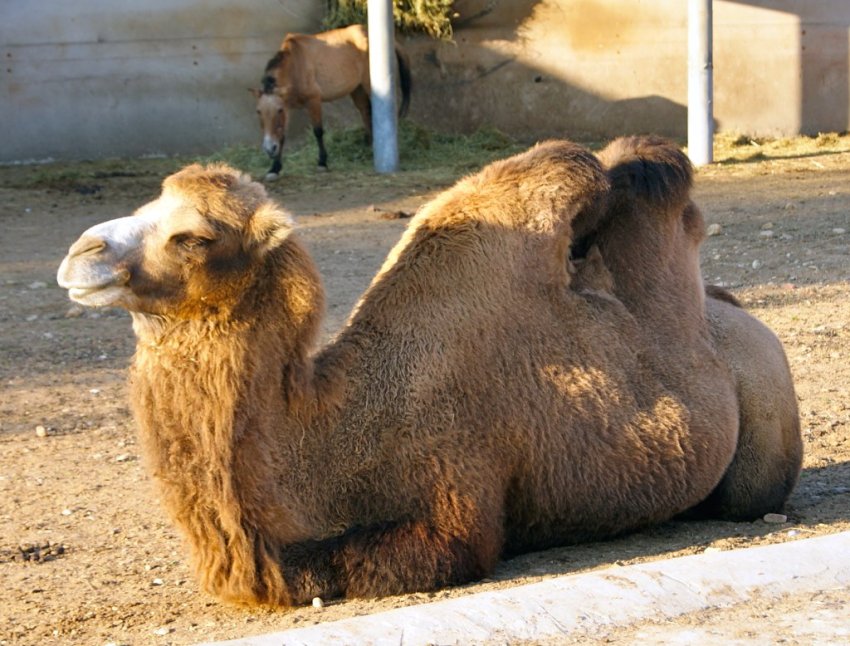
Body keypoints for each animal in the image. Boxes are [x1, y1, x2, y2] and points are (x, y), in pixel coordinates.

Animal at [252, 25, 410, 181]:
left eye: (278, 110)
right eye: (258, 111)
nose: (269, 148)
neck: (294, 65)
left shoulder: (313, 101)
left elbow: (318, 132)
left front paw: (322, 163)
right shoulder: (288, 107)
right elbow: (281, 136)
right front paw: (274, 169)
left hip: (371, 86)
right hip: (357, 90)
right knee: (366, 113)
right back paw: (370, 147)